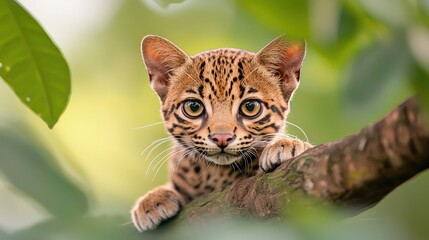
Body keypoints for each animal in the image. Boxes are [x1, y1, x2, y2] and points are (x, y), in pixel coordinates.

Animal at [130, 35, 310, 231]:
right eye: (193, 107)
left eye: (250, 107)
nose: (221, 138)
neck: (215, 173)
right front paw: (151, 200)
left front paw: (288, 145)